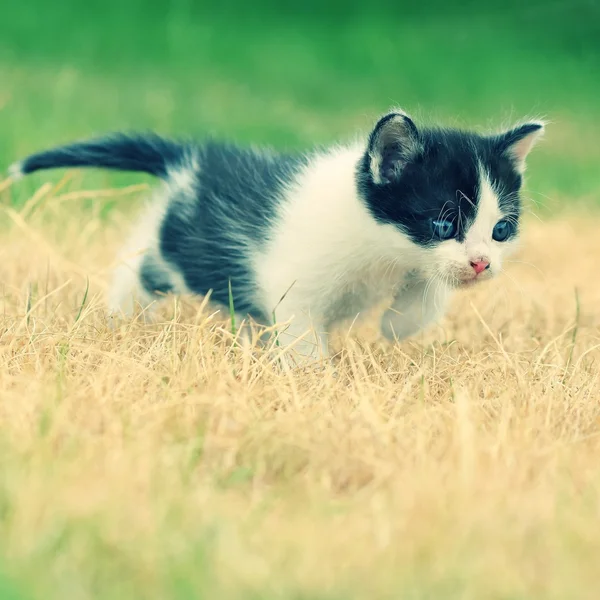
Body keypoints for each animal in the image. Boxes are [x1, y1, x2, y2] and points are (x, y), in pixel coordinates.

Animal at [8, 107, 544, 360]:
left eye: (501, 229)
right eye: (442, 223)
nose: (482, 262)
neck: (380, 250)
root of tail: (196, 157)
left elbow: (430, 290)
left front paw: (399, 323)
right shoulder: (295, 282)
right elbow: (302, 332)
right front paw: (315, 381)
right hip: (187, 251)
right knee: (146, 264)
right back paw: (124, 315)